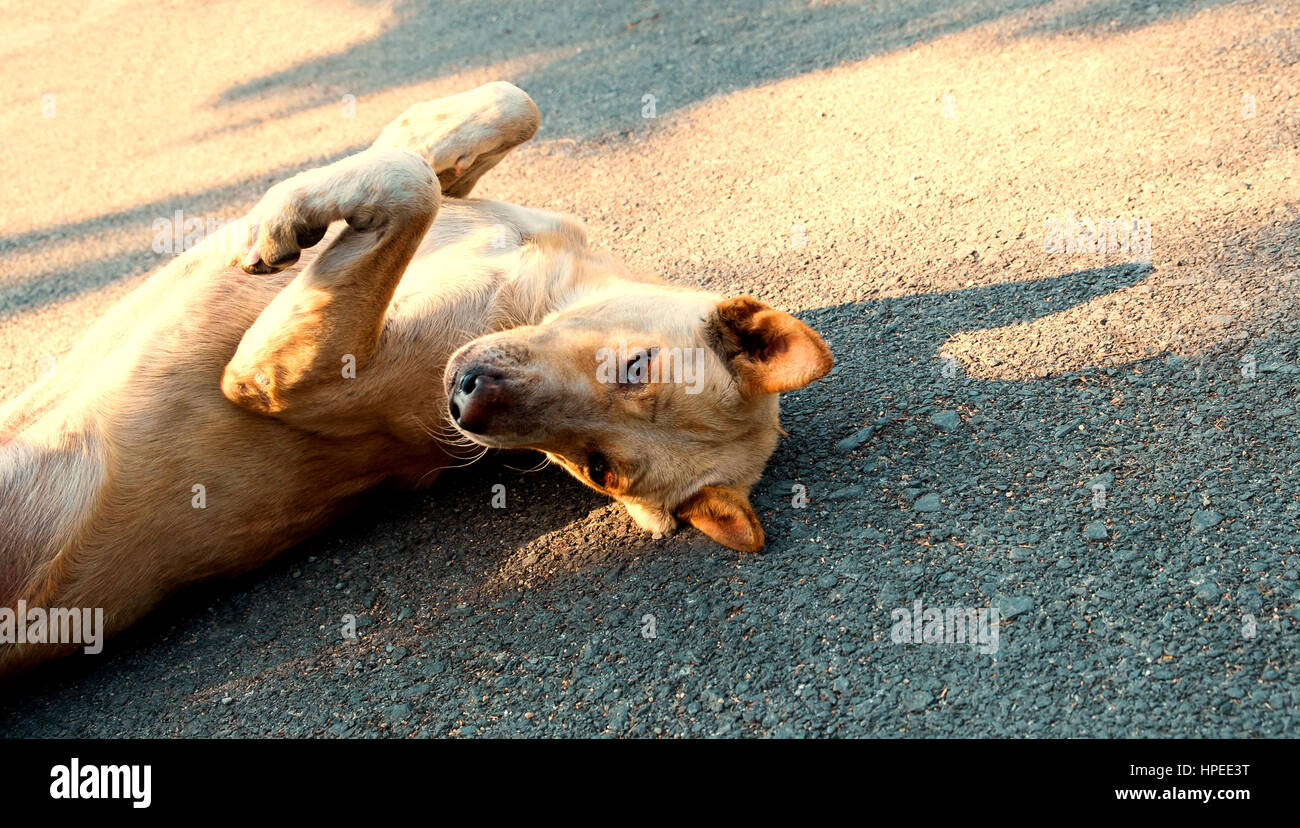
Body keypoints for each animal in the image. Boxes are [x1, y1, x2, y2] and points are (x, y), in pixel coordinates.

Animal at [0, 80, 832, 675]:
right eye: (634, 367)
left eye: (602, 471)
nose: (465, 402)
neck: (531, 290)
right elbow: (495, 112)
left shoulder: (267, 372)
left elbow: (410, 182)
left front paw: (285, 218)